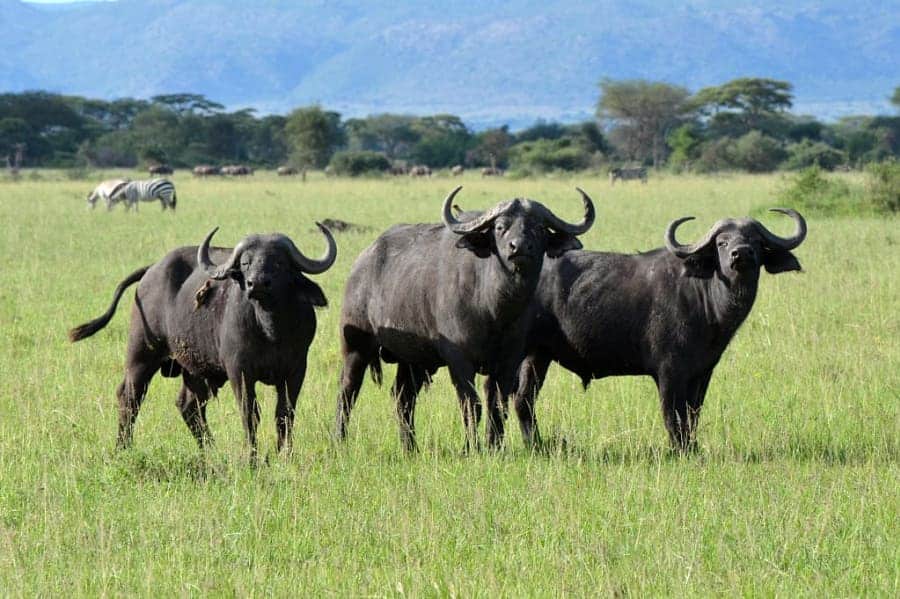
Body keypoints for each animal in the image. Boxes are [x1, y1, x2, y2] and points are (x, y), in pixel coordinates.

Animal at [67, 225, 338, 454]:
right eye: (246, 262)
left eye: (279, 262)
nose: (257, 284)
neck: (271, 329)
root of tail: (151, 270)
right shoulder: (239, 371)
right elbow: (250, 413)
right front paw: (252, 458)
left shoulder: (296, 370)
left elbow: (284, 414)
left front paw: (284, 455)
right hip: (141, 354)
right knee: (130, 396)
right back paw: (123, 447)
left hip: (194, 368)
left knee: (189, 406)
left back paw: (210, 450)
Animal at [334, 186, 596, 450]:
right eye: (500, 227)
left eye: (540, 227)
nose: (519, 247)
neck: (495, 309)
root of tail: (361, 263)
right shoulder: (459, 360)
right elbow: (472, 405)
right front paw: (471, 447)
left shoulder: (509, 360)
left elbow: (498, 405)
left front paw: (494, 446)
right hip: (356, 347)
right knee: (347, 391)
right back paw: (340, 439)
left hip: (413, 360)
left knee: (403, 397)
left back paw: (410, 448)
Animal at [506, 210, 808, 450]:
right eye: (722, 242)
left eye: (756, 241)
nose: (741, 254)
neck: (707, 301)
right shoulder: (669, 372)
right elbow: (673, 415)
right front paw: (679, 450)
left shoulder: (702, 373)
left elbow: (693, 414)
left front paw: (692, 447)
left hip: (538, 355)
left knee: (523, 399)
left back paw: (536, 445)